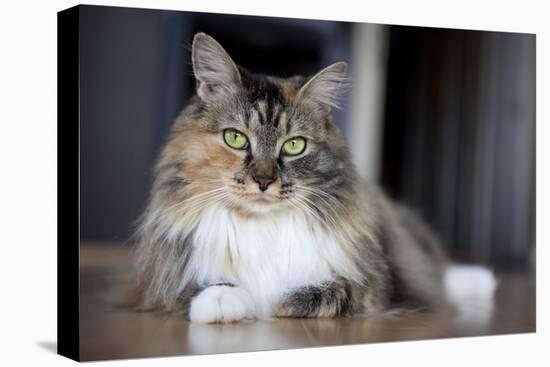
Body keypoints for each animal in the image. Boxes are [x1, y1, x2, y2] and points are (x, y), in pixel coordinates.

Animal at [130, 33, 500, 324]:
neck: (262, 228)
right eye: (235, 138)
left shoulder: (373, 283)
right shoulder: (156, 281)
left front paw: (280, 302)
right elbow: (193, 288)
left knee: (433, 271)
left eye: (294, 145)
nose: (263, 181)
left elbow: (332, 290)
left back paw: (480, 280)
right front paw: (225, 300)